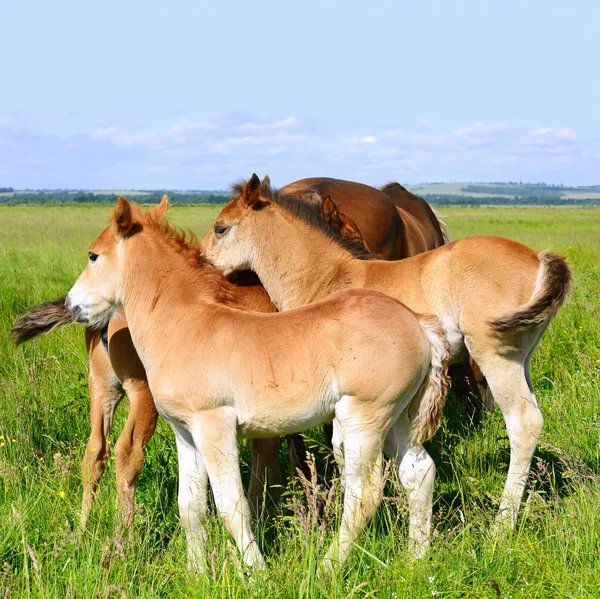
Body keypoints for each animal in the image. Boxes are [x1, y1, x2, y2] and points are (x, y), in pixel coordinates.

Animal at [65, 199, 450, 576]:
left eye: (93, 255)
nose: (71, 305)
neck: (187, 323)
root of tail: (418, 323)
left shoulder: (214, 425)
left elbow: (232, 505)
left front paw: (257, 573)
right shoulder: (185, 432)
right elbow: (190, 506)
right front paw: (197, 574)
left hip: (364, 419)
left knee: (364, 494)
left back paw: (327, 568)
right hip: (398, 419)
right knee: (419, 474)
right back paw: (416, 560)